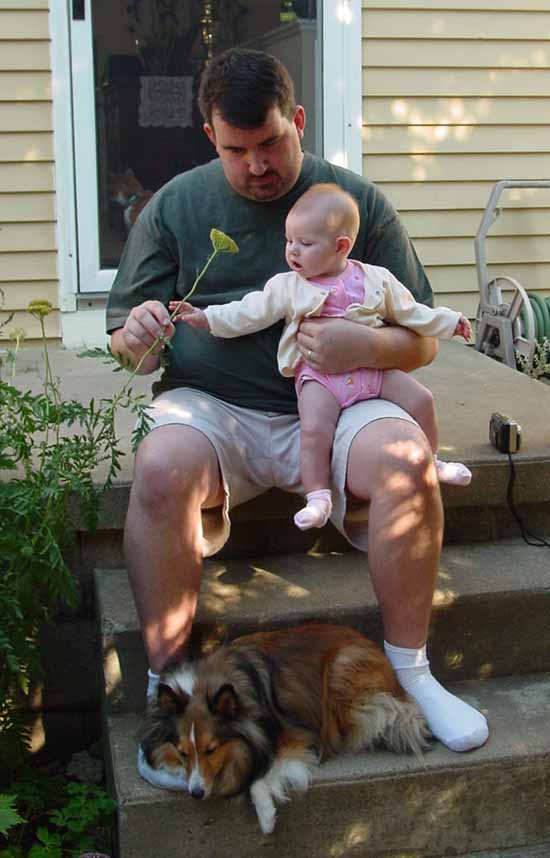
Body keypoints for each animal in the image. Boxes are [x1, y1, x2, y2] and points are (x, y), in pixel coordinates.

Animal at [141, 620, 432, 828]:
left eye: (211, 749)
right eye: (182, 752)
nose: (196, 793)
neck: (204, 687)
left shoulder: (296, 734)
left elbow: (264, 771)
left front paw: (266, 815)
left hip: (341, 671)